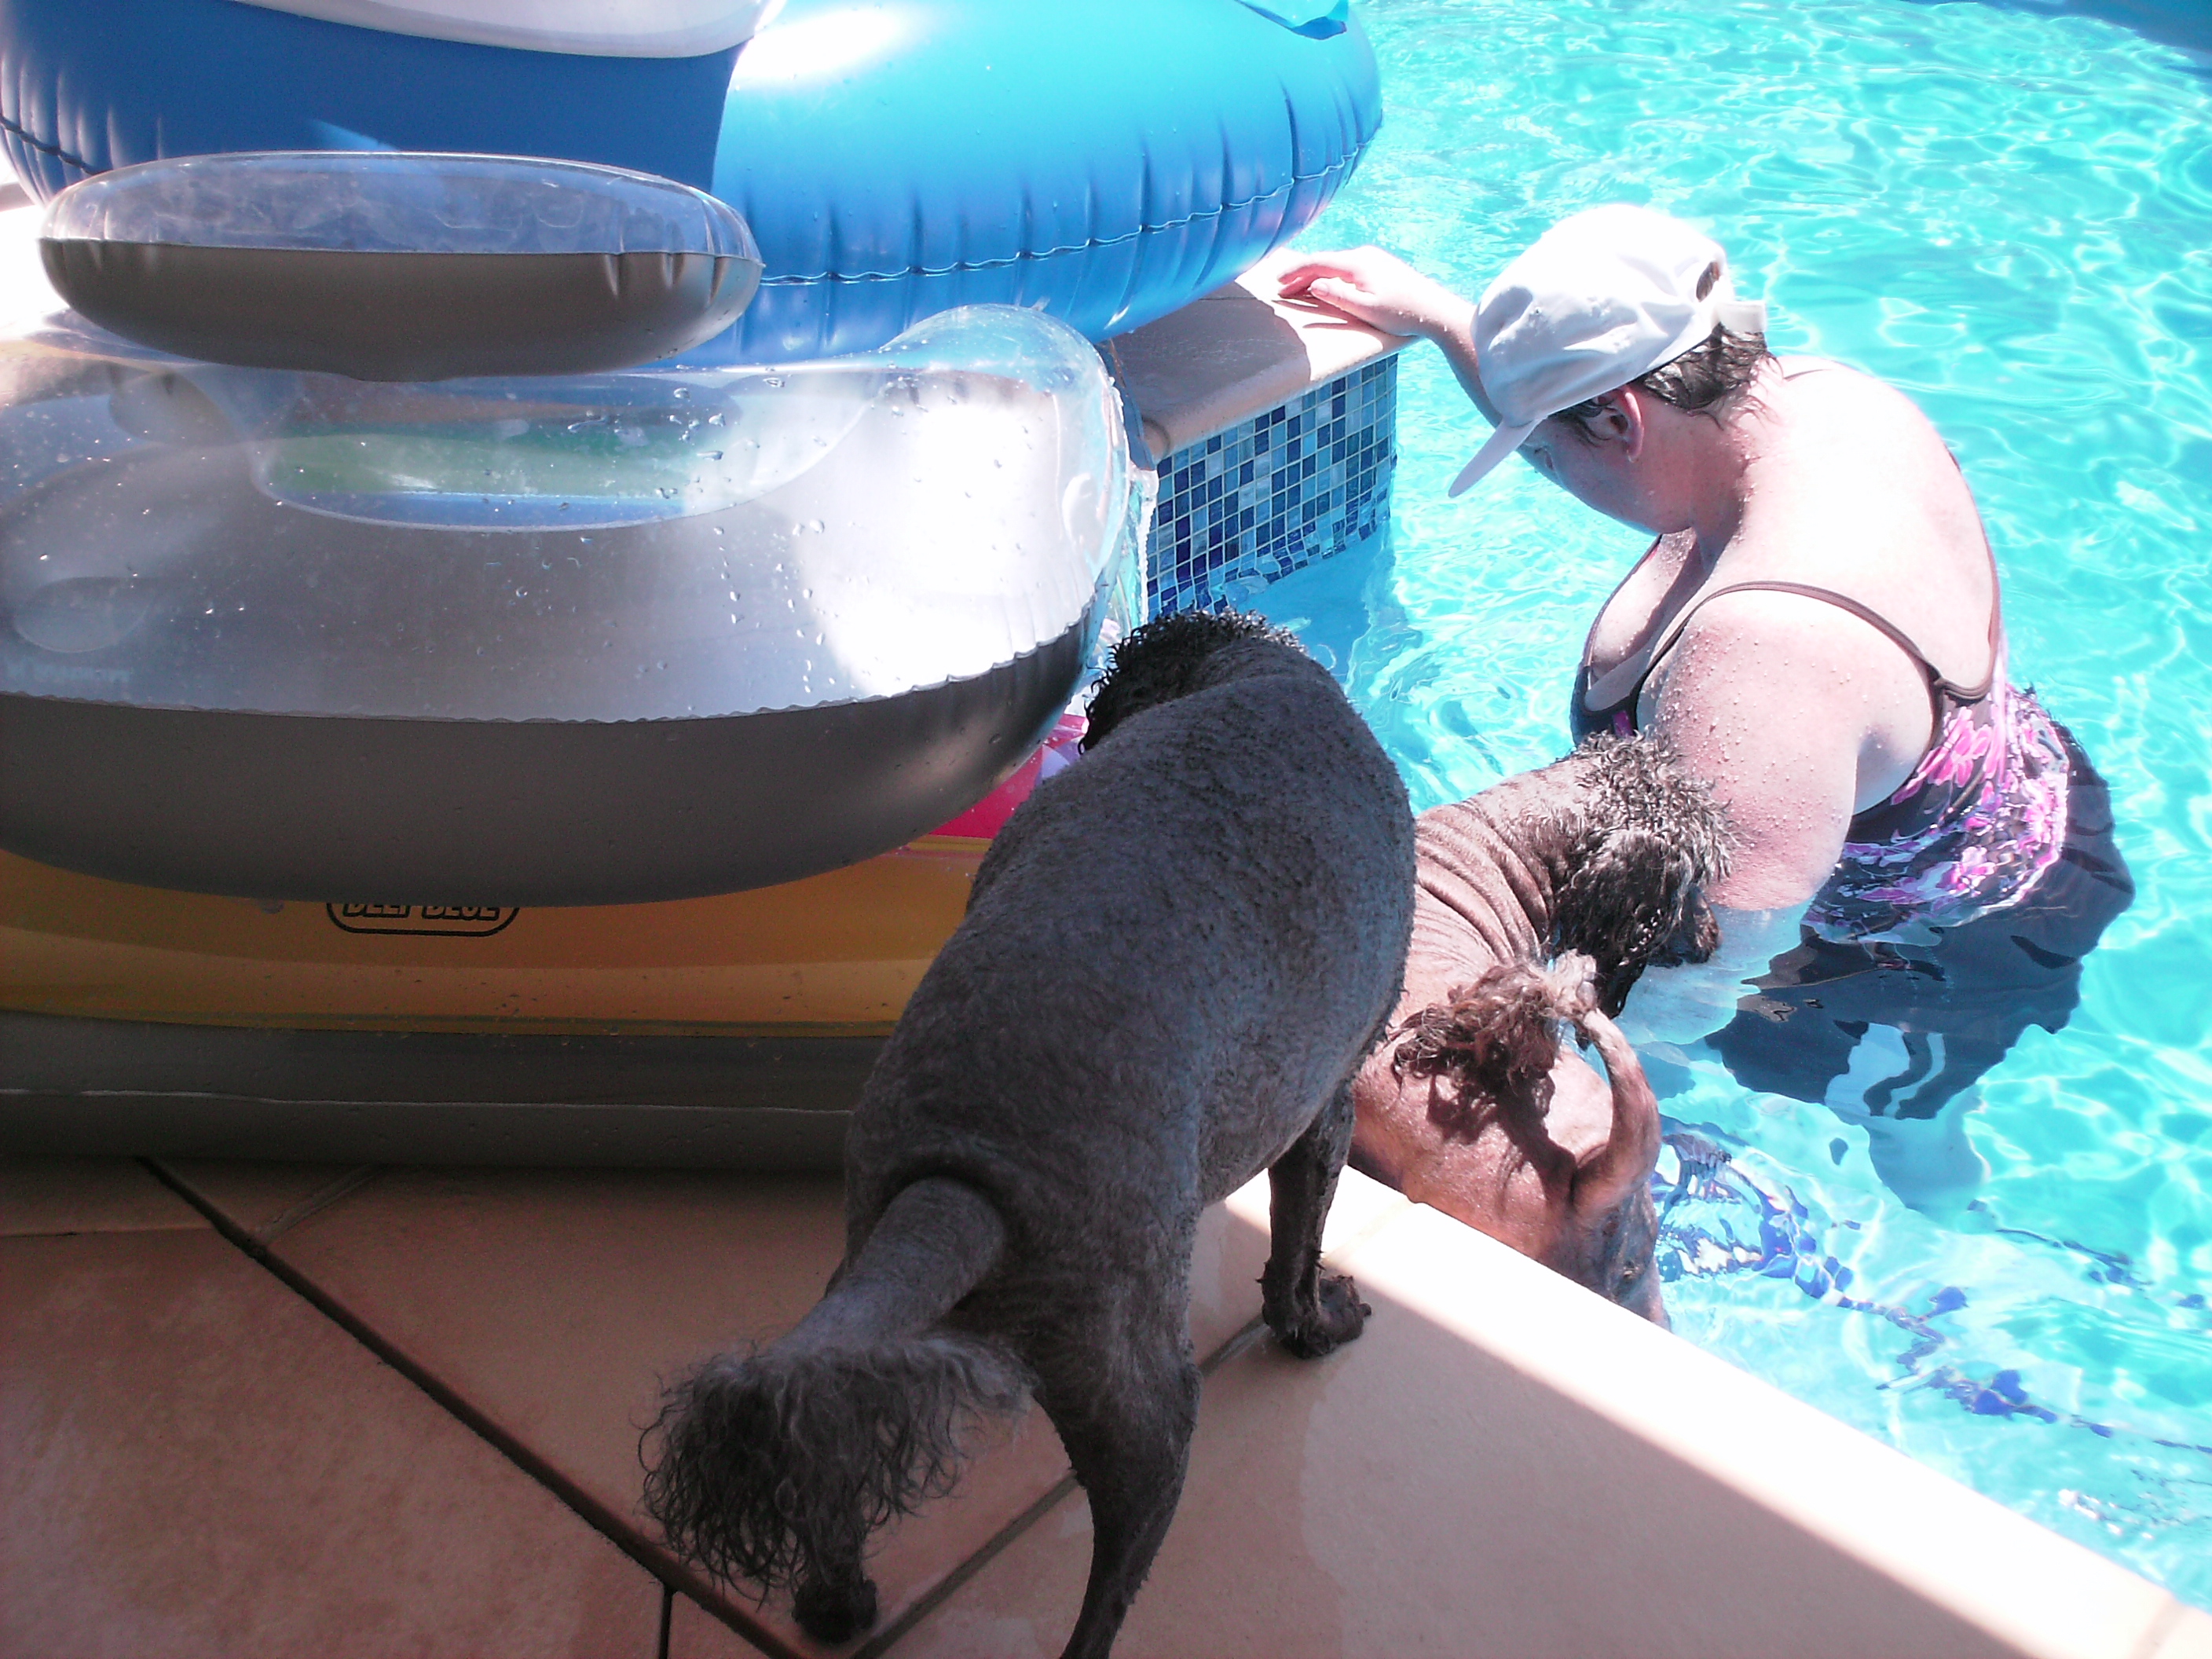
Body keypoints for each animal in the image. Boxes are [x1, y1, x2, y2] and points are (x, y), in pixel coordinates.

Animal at [644, 609, 1414, 1658]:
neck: (1247, 670)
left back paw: (837, 1604)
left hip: (868, 1297)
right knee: (1108, 1586)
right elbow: (1293, 1260)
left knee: (822, 1431)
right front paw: (1317, 1323)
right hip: (1140, 1399)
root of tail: (963, 1171)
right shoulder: (1326, 1106)